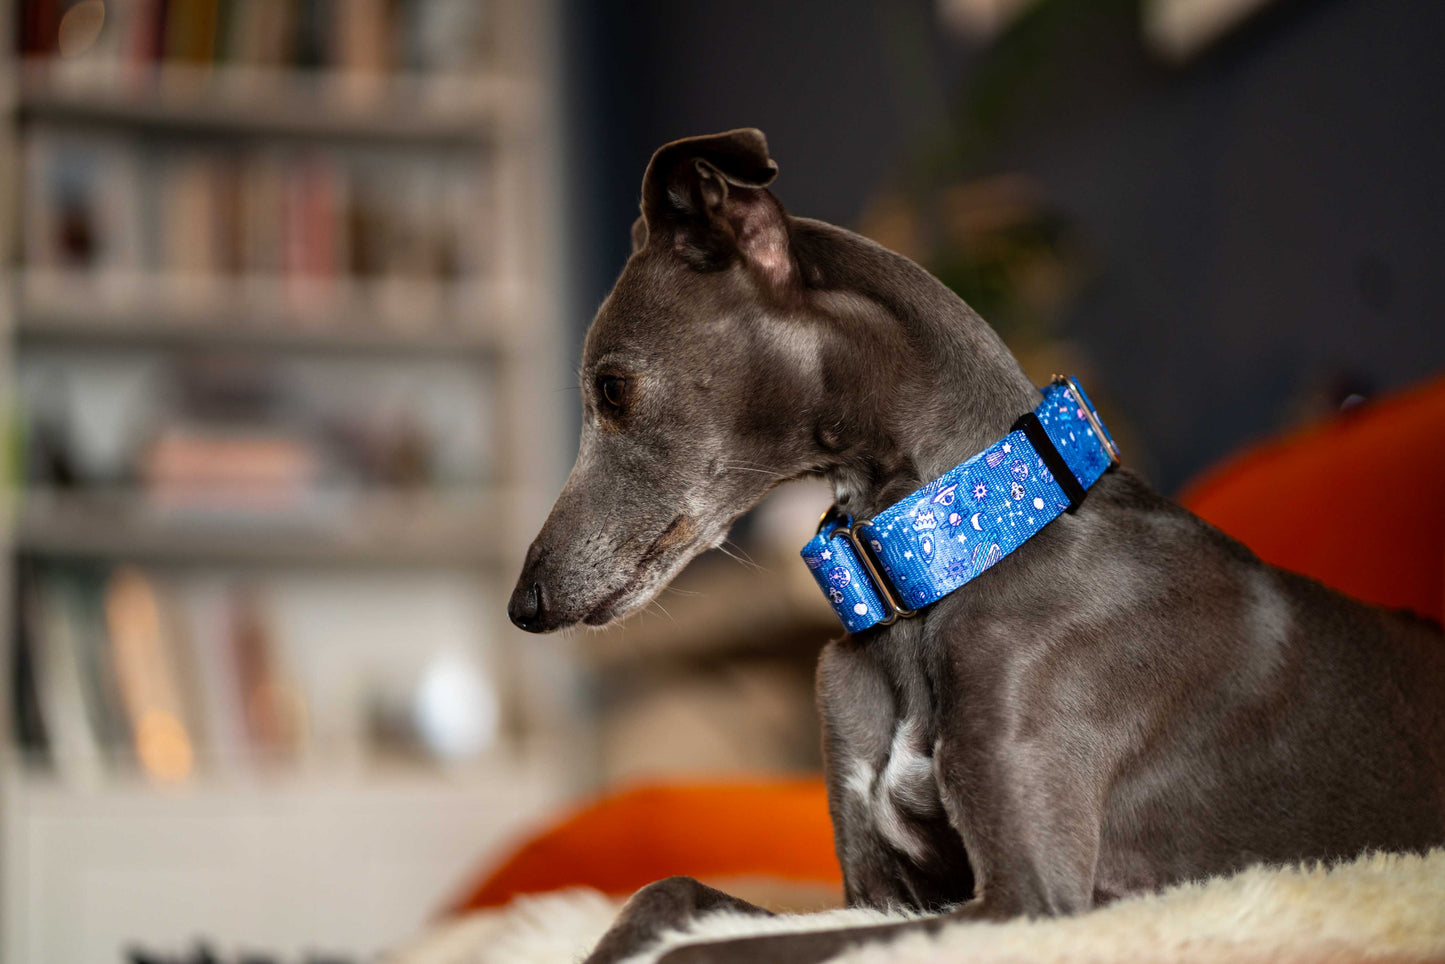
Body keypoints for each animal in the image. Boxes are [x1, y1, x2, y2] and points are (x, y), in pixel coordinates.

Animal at [508, 130, 1445, 964]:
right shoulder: (876, 891)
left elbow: (707, 952)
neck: (948, 558)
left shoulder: (1025, 899)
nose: (524, 606)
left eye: (612, 389)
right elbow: (665, 893)